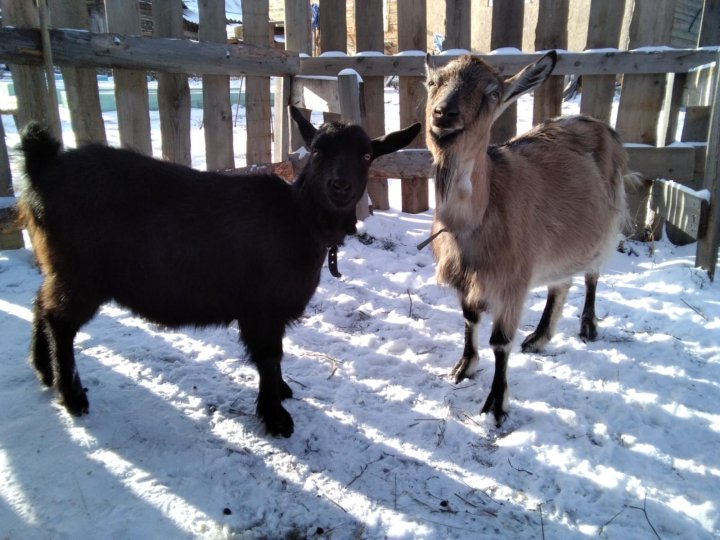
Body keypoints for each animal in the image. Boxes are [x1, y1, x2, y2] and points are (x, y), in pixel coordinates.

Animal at [18, 107, 421, 437]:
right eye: (318, 150)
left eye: (366, 155)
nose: (340, 186)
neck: (299, 218)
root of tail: (43, 169)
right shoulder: (261, 308)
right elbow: (269, 357)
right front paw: (275, 416)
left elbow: (275, 356)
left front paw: (281, 393)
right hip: (80, 272)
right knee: (59, 322)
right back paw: (72, 396)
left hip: (61, 268)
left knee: (40, 303)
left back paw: (43, 370)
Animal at [424, 52, 629, 426]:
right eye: (433, 82)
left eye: (492, 92)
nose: (444, 114)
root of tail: (598, 123)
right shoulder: (466, 281)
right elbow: (469, 321)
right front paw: (463, 368)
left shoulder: (512, 284)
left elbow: (500, 342)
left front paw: (496, 405)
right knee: (560, 284)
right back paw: (539, 337)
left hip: (606, 224)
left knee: (592, 275)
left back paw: (588, 327)